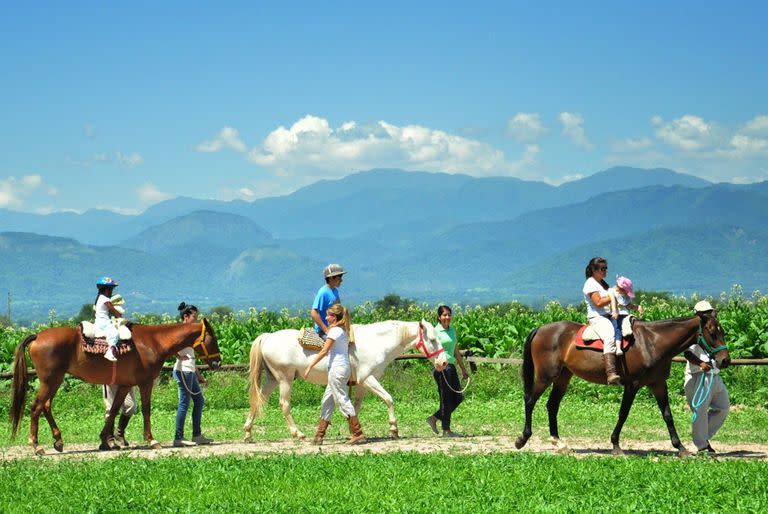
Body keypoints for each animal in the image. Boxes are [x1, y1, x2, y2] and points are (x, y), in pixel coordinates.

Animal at [11, 318, 222, 454]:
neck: (153, 342)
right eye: (213, 339)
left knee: (45, 406)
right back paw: (36, 445)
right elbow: (146, 410)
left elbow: (113, 411)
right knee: (36, 407)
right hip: (49, 381)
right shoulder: (145, 383)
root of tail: (37, 336)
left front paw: (105, 440)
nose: (218, 362)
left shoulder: (124, 385)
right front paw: (151, 439)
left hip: (55, 381)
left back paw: (58, 440)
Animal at [244, 318, 450, 438]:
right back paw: (298, 433)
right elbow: (388, 399)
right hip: (284, 379)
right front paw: (393, 429)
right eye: (432, 340)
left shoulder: (361, 383)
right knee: (284, 404)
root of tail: (267, 337)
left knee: (258, 400)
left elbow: (356, 405)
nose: (443, 362)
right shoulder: (368, 378)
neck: (376, 342)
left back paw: (247, 433)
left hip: (272, 379)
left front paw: (354, 430)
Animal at [512, 310, 728, 454]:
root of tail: (541, 329)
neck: (652, 342)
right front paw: (616, 445)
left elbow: (667, 415)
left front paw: (680, 447)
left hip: (563, 377)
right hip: (545, 376)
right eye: (712, 332)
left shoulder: (658, 384)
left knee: (552, 405)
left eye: (723, 331)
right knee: (530, 400)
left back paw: (559, 443)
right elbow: (623, 414)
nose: (725, 360)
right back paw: (522, 439)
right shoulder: (632, 385)